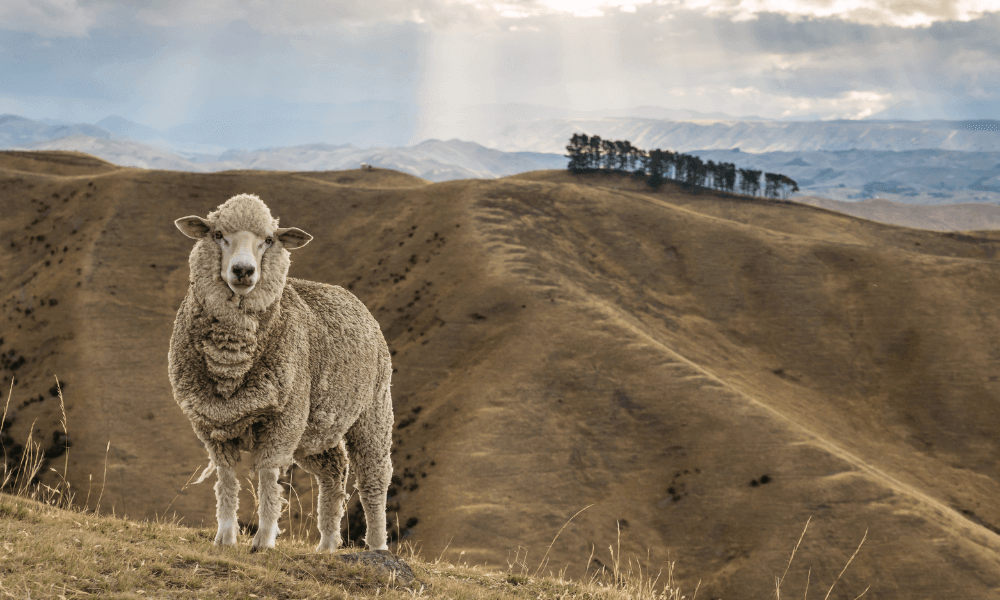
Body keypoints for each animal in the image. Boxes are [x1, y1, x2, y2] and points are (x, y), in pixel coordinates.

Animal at [168, 193, 393, 552]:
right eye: (217, 234)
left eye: (269, 240)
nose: (243, 270)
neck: (230, 360)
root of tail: (350, 296)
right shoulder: (212, 424)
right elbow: (226, 479)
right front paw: (225, 537)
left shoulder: (283, 421)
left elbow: (267, 475)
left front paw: (263, 539)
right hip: (315, 429)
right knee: (334, 471)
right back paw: (328, 545)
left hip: (373, 411)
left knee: (373, 478)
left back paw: (376, 547)